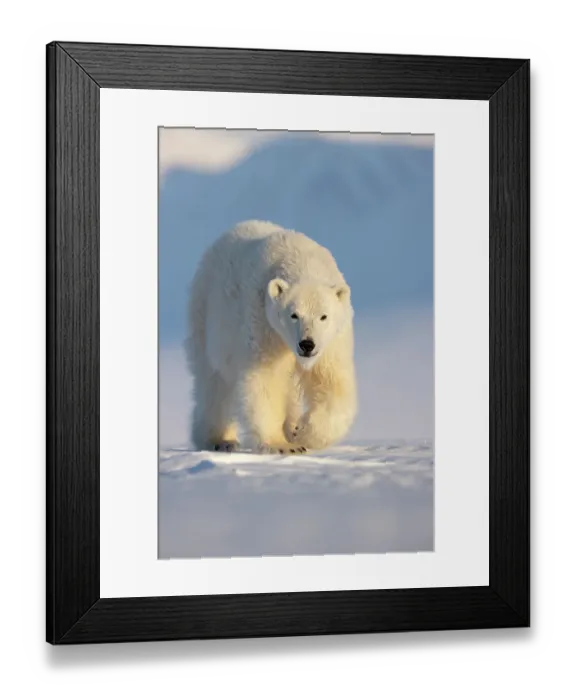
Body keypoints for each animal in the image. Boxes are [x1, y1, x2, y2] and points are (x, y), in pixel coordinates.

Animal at [185, 219, 357, 454]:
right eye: (293, 315)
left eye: (324, 316)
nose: (307, 345)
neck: (301, 259)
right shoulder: (264, 323)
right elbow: (266, 379)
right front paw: (283, 445)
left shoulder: (332, 341)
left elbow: (332, 381)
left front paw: (302, 432)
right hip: (208, 316)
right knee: (213, 381)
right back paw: (219, 439)